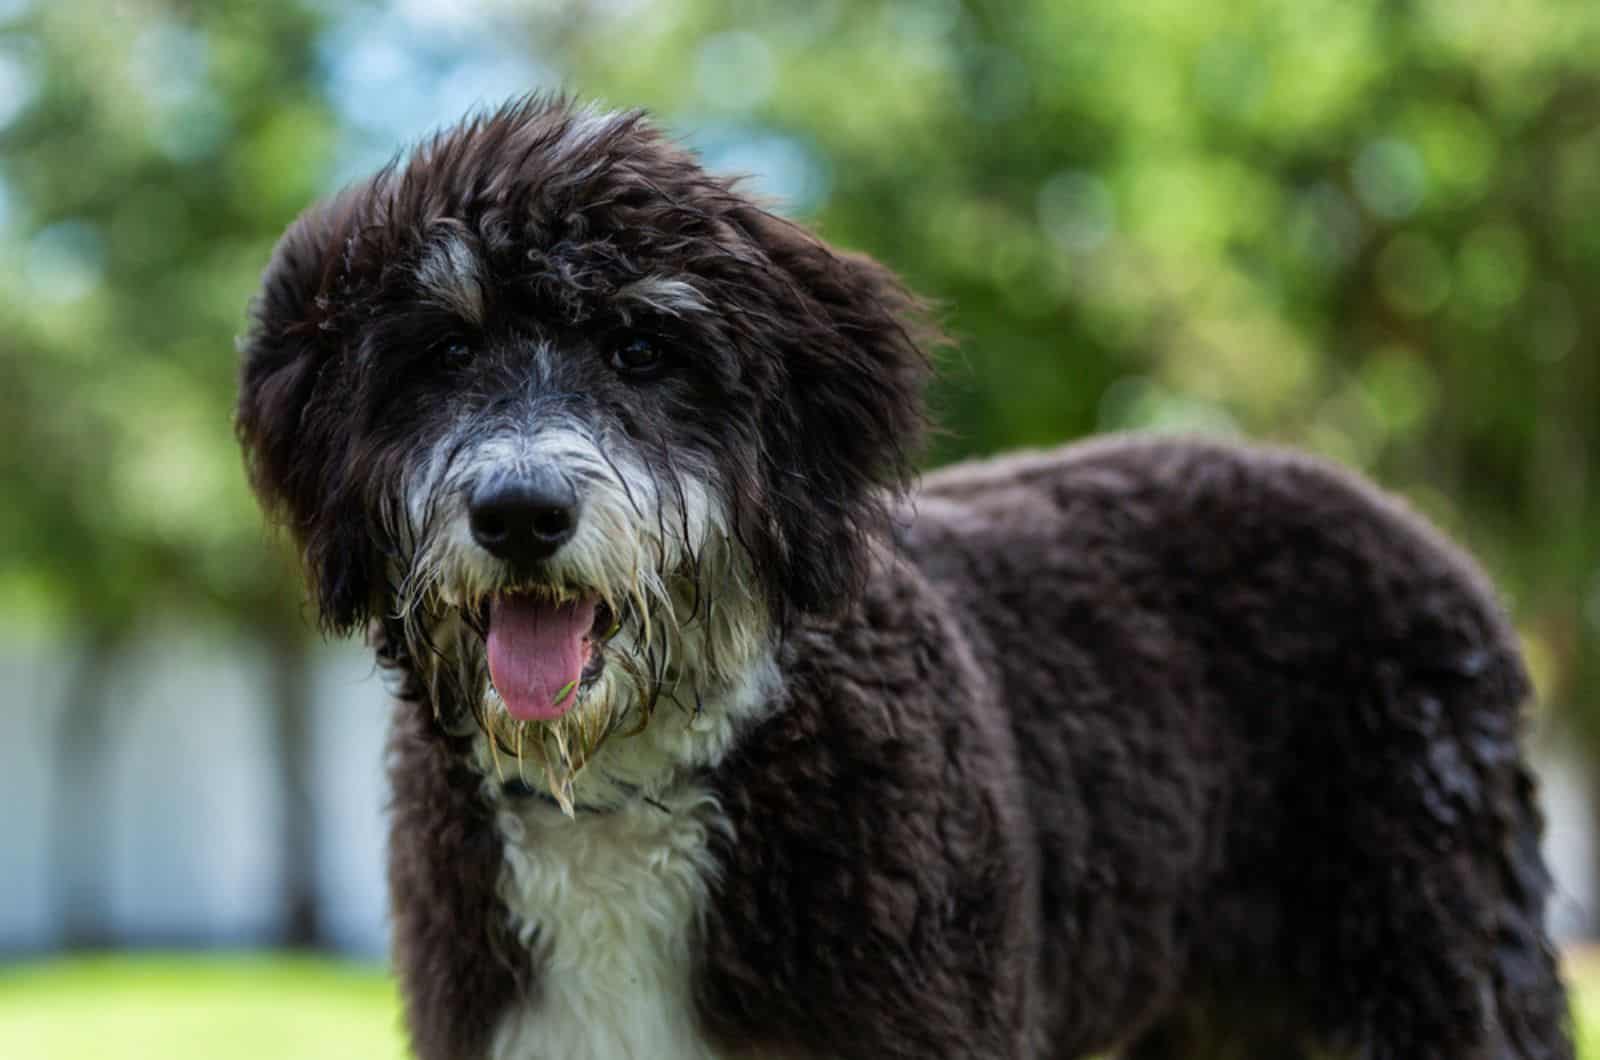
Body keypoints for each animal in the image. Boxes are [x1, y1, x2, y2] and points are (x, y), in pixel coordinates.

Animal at [232, 97, 1568, 1060]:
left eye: (642, 346)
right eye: (444, 349)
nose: (518, 512)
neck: (628, 789)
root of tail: (1424, 539)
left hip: (1440, 960)